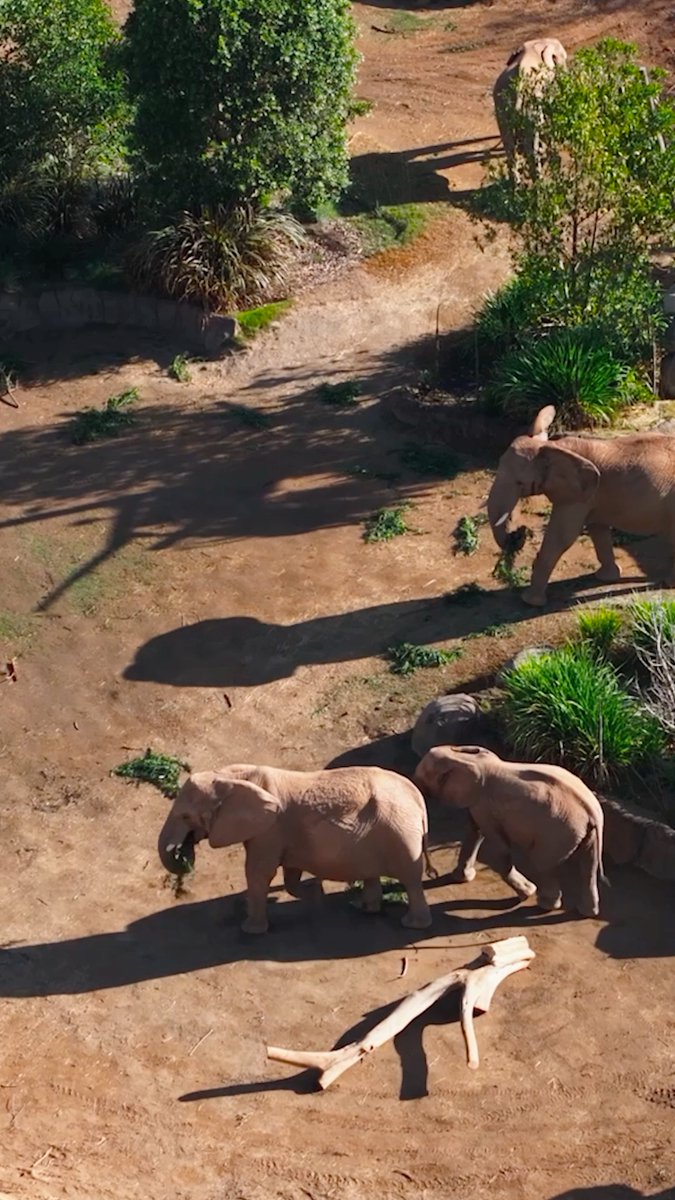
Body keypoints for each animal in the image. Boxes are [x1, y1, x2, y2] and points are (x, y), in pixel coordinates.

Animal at [158, 763, 434, 934]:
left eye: (185, 817)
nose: (184, 853)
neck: (232, 776)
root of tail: (417, 798)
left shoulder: (270, 830)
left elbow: (258, 872)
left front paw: (251, 930)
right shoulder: (278, 833)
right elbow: (289, 873)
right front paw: (315, 894)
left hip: (399, 834)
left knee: (411, 879)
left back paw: (412, 924)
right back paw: (363, 908)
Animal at [414, 745, 606, 916]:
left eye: (423, 778)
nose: (433, 874)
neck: (463, 756)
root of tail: (591, 811)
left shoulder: (484, 804)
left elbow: (499, 849)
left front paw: (527, 893)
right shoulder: (480, 805)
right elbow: (474, 833)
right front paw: (460, 878)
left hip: (558, 832)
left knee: (542, 863)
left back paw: (545, 905)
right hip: (584, 832)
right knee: (589, 866)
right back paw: (586, 912)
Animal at [487, 404, 675, 606]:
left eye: (520, 483)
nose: (518, 533)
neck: (555, 447)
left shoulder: (577, 499)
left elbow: (561, 537)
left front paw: (530, 602)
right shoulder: (591, 496)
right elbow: (597, 529)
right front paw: (606, 578)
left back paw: (669, 583)